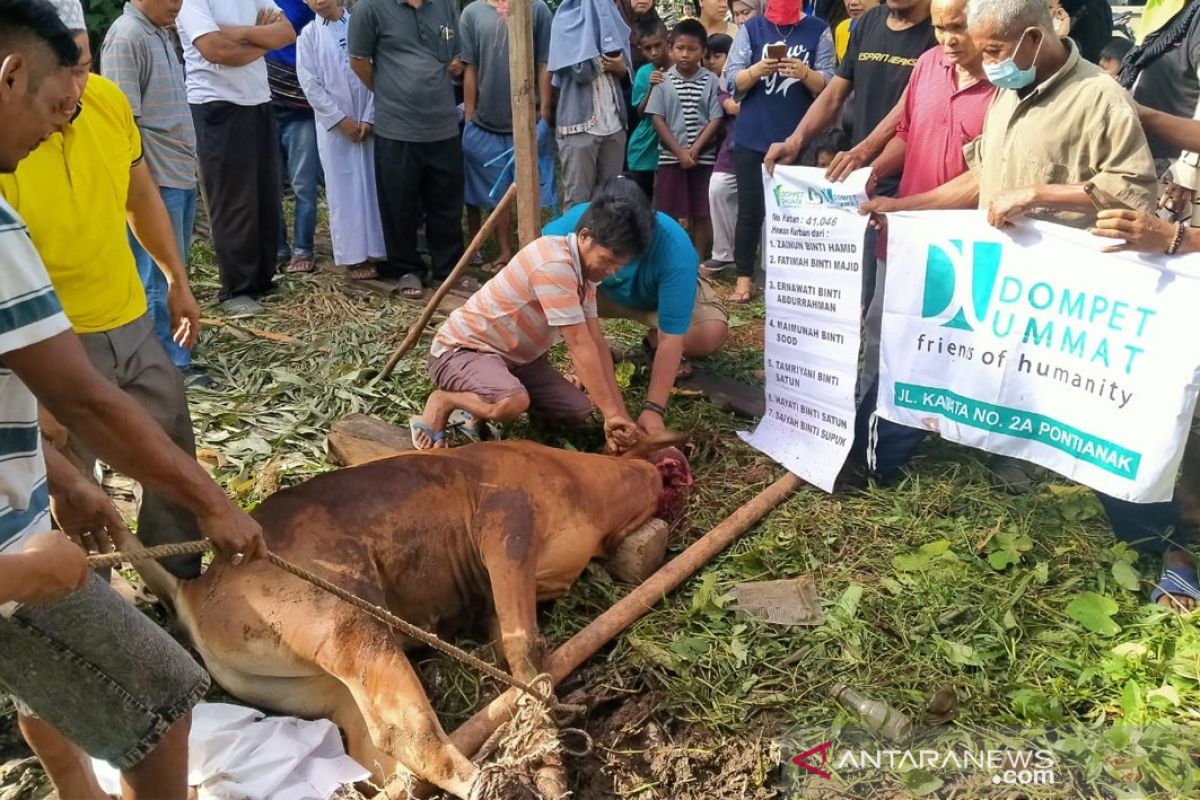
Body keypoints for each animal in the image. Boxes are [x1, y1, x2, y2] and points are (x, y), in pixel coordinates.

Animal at [147, 441, 696, 796]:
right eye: (677, 470)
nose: (685, 475)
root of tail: (197, 589)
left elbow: (514, 647)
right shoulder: (506, 520)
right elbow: (522, 644)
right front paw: (548, 741)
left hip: (309, 685)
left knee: (382, 754)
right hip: (341, 614)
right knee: (408, 733)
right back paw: (492, 785)